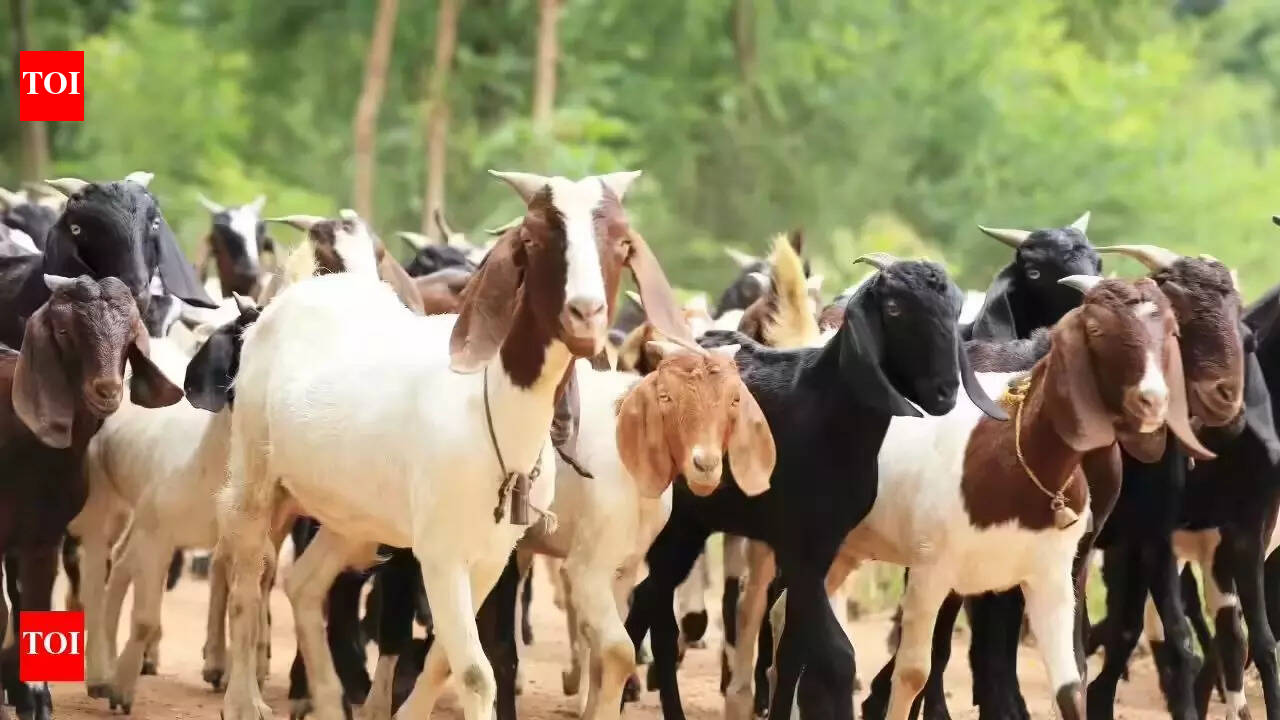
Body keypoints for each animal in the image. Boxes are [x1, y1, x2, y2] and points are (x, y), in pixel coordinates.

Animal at [0, 275, 183, 720]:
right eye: (65, 332)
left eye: (129, 337)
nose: (108, 390)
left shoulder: (42, 536)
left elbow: (32, 603)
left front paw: (34, 697)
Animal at [216, 170, 689, 720]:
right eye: (533, 238)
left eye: (621, 243)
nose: (585, 314)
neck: (493, 412)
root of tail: (298, 294)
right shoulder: (440, 554)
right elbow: (476, 673)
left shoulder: (491, 558)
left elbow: (445, 656)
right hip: (255, 472)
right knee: (249, 578)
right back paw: (244, 699)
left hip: (354, 517)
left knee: (304, 585)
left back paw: (330, 701)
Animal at [625, 254, 1005, 720]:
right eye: (894, 309)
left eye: (954, 309)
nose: (945, 391)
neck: (826, 408)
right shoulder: (797, 544)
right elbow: (836, 655)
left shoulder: (825, 545)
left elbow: (794, 646)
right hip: (676, 523)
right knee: (653, 606)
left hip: (692, 525)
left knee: (651, 601)